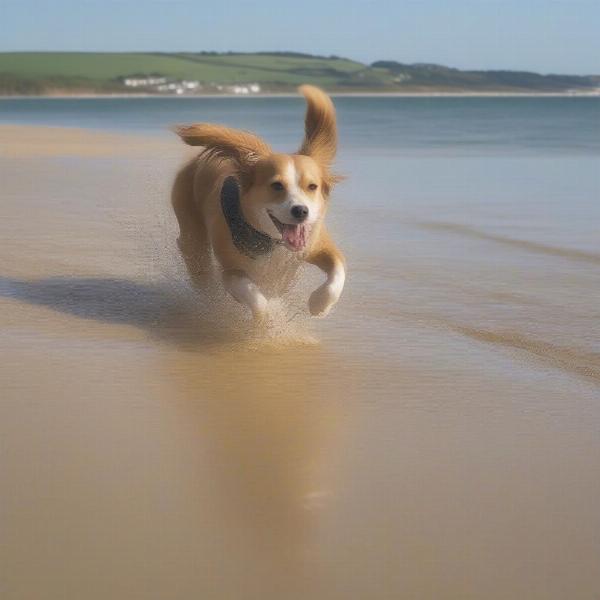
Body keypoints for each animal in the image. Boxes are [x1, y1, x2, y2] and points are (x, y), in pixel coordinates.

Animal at [171, 85, 344, 318]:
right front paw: (268, 317)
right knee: (197, 259)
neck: (272, 241)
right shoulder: (232, 270)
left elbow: (338, 270)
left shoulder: (316, 243)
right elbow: (254, 296)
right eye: (277, 185)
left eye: (312, 186)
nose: (301, 211)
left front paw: (320, 304)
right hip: (192, 231)